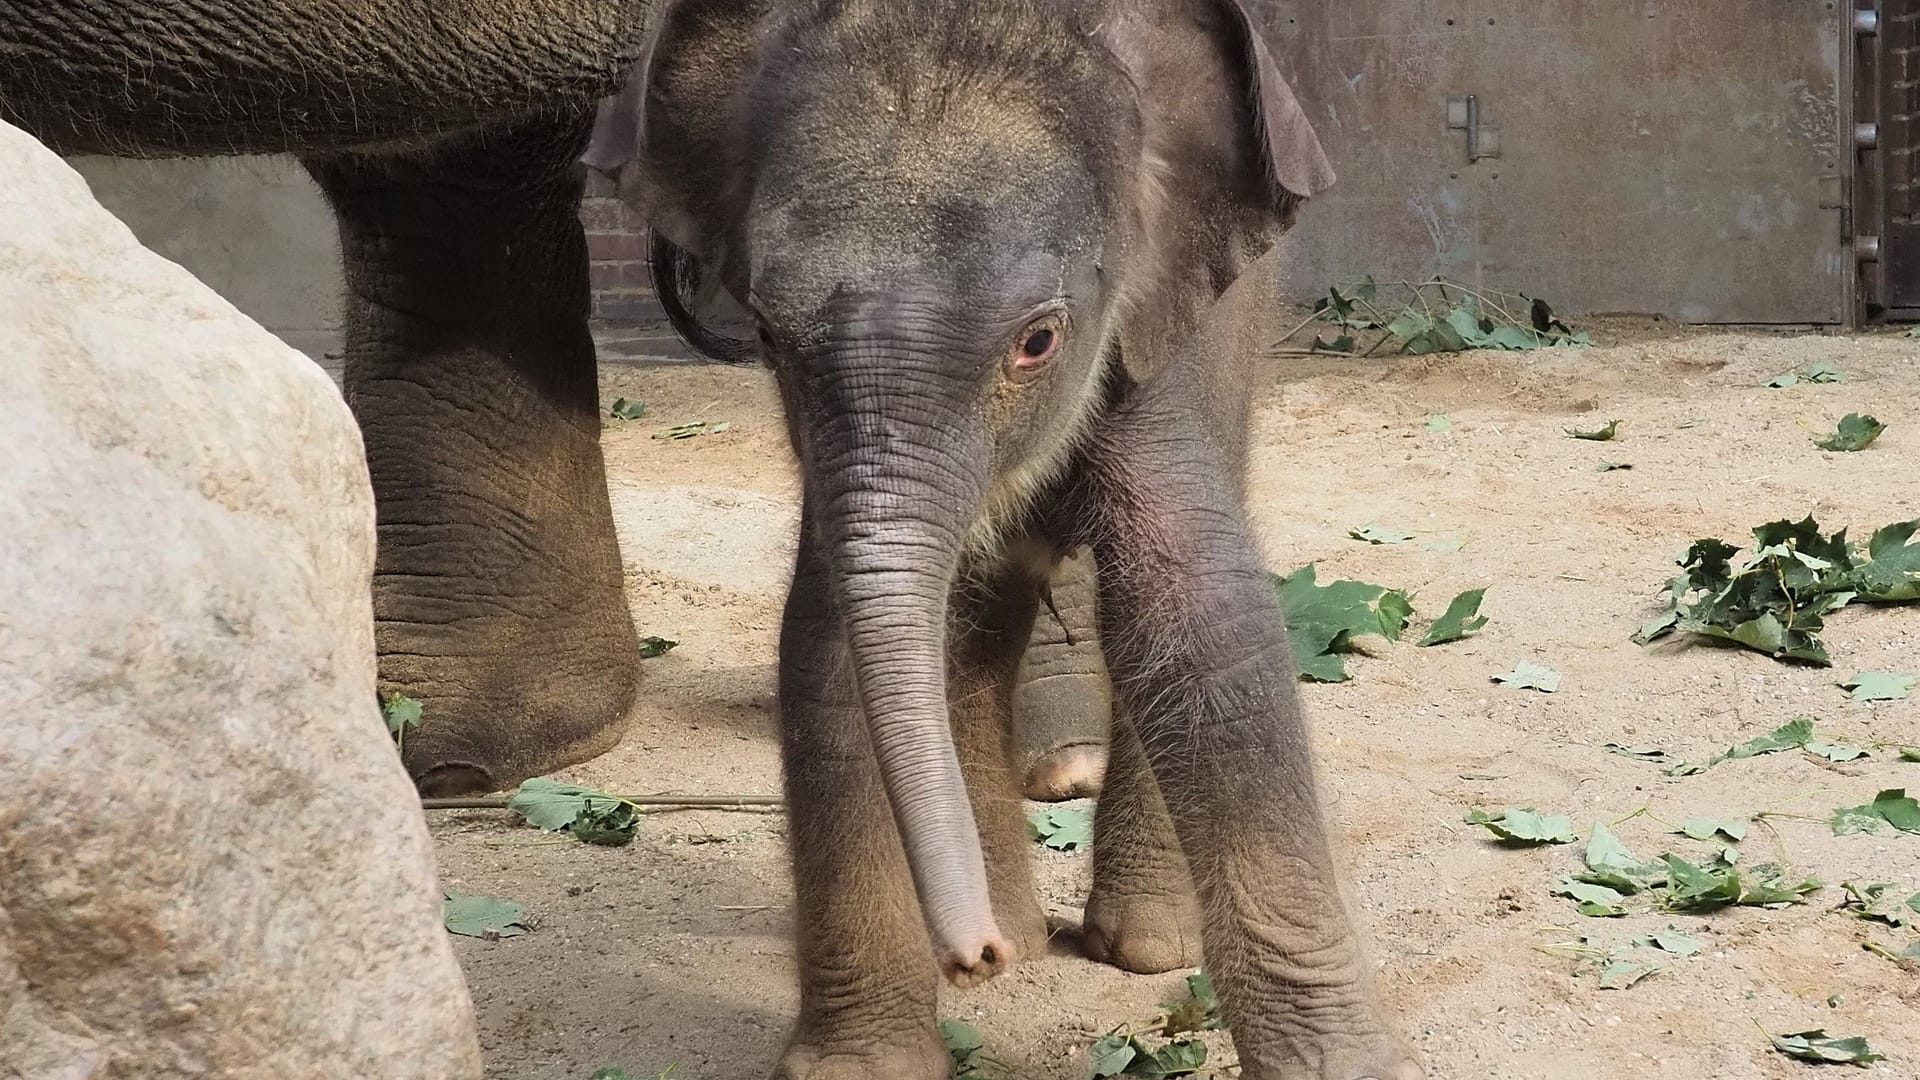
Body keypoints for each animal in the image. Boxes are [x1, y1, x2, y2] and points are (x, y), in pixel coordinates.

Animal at [591, 2, 1420, 1076]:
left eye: (1039, 340)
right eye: (766, 333)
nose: (972, 958)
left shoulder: (1159, 310)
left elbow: (1195, 601)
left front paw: (1344, 1060)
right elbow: (829, 633)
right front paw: (862, 1065)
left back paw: (1143, 946)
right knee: (981, 614)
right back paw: (1031, 931)